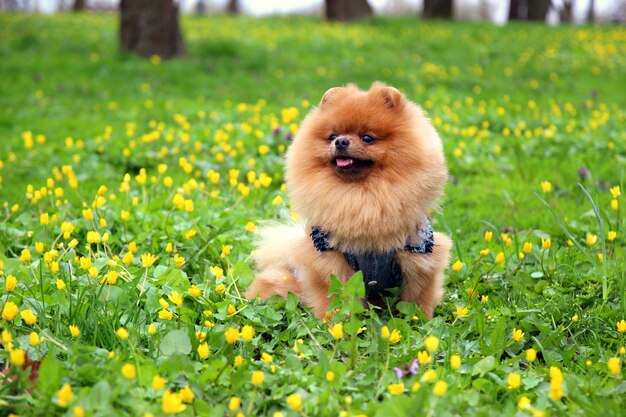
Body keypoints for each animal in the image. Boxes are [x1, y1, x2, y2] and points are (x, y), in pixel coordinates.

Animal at [246, 83, 450, 318]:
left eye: (367, 138)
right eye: (333, 135)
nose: (341, 141)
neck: (360, 195)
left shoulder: (420, 254)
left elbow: (418, 299)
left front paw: (418, 320)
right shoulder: (328, 259)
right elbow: (334, 298)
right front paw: (335, 323)